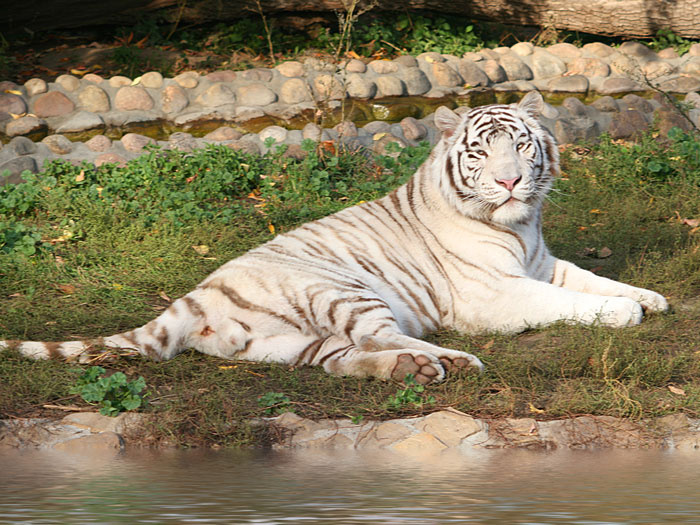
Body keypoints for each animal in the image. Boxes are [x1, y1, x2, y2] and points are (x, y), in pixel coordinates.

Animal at [0, 91, 668, 385]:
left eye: (523, 145)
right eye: (481, 152)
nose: (509, 180)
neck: (521, 226)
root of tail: (190, 299)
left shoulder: (542, 261)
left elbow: (592, 276)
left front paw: (650, 298)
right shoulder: (495, 293)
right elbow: (569, 302)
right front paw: (625, 313)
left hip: (286, 345)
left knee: (344, 358)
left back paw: (412, 370)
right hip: (344, 289)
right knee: (380, 337)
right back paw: (449, 361)